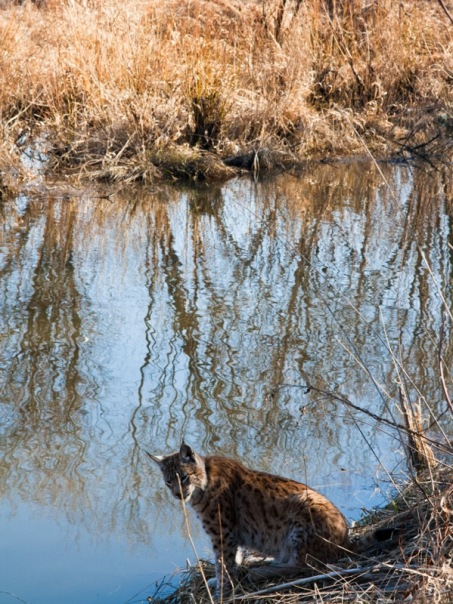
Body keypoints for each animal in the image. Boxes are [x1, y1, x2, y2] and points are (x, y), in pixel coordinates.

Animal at [147, 442, 350, 596]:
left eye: (183, 477)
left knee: (303, 566)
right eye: (168, 482)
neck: (203, 485)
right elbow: (231, 558)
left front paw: (222, 591)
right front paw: (225, 579)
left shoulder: (222, 532)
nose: (177, 494)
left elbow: (223, 563)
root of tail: (346, 539)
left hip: (305, 504)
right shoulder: (229, 533)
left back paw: (259, 572)